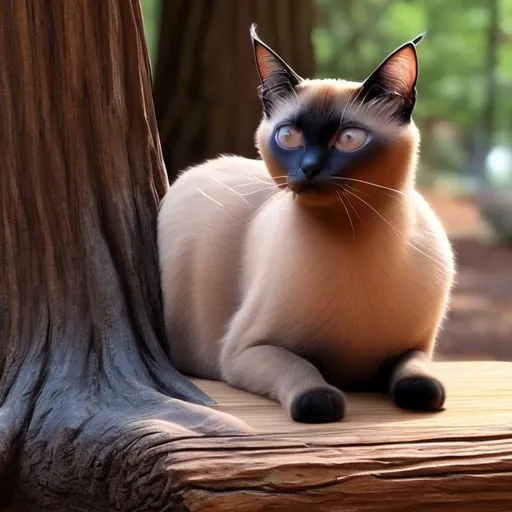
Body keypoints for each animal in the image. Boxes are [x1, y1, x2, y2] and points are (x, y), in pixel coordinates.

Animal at [158, 25, 454, 424]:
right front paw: (325, 399)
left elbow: (421, 384)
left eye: (349, 139)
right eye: (289, 136)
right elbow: (307, 379)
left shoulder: (417, 347)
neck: (353, 234)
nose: (309, 169)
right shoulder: (245, 350)